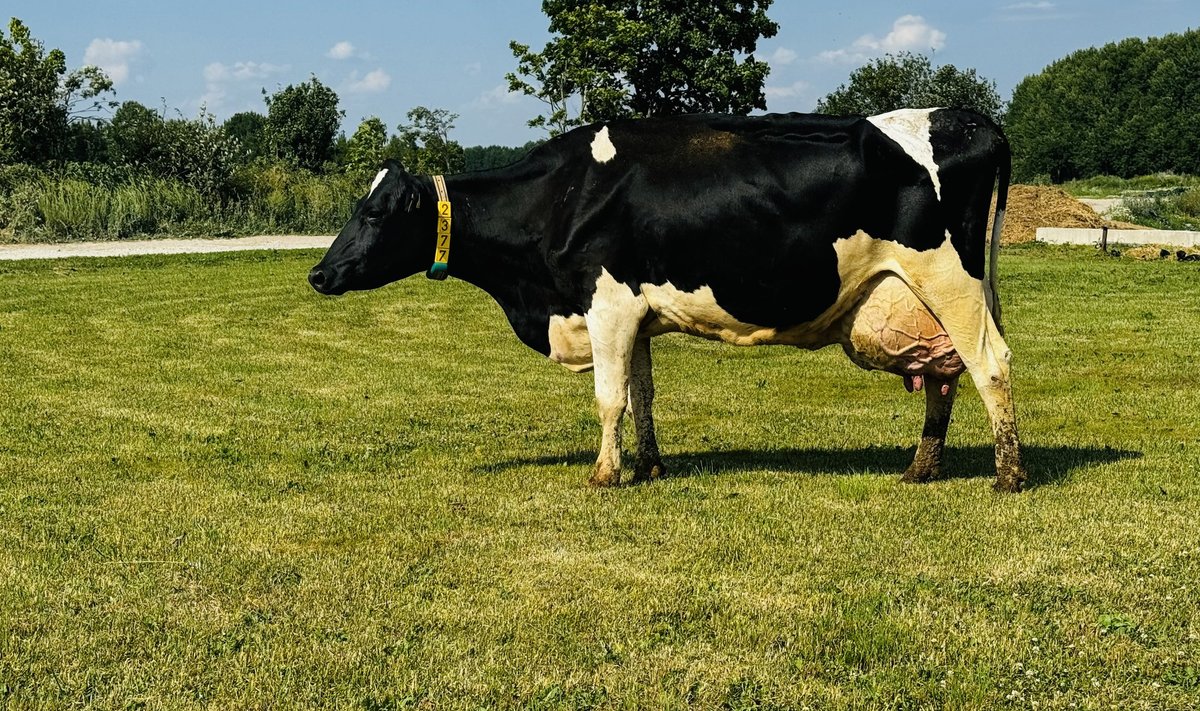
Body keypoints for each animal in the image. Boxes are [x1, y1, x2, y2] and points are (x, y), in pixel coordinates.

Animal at [304, 108, 1027, 492]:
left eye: (376, 211)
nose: (318, 273)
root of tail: (965, 116)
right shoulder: (637, 315)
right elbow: (643, 392)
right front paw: (649, 465)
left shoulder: (606, 304)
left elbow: (610, 396)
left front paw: (604, 473)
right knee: (944, 375)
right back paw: (921, 467)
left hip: (951, 279)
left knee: (990, 363)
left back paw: (1008, 474)